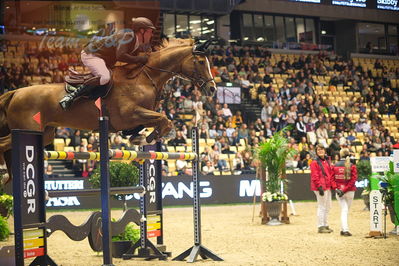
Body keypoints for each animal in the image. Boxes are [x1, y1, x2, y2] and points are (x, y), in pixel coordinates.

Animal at [0, 38, 216, 186]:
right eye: (200, 62)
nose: (213, 89)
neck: (145, 78)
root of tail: (15, 92)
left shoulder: (137, 117)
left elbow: (158, 121)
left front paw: (140, 137)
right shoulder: (129, 115)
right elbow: (164, 119)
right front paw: (150, 137)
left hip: (45, 134)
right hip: (28, 129)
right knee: (4, 144)